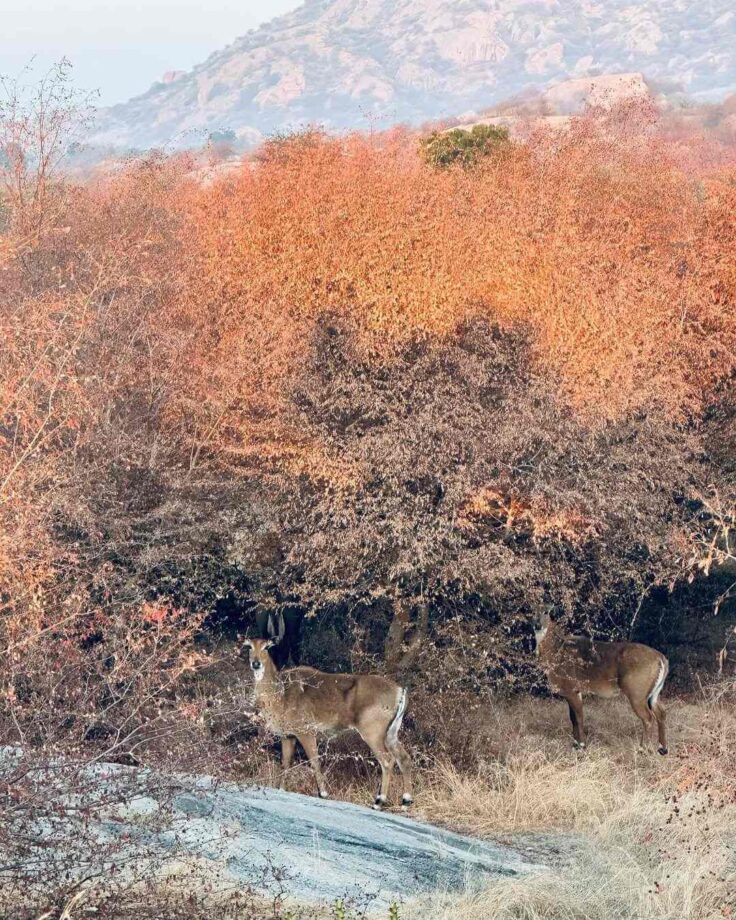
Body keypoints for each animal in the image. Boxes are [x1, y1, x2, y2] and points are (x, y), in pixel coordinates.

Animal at [242, 636, 414, 808]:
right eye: (249, 646)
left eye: (266, 647)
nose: (256, 663)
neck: (279, 696)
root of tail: (401, 691)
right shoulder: (288, 735)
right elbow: (285, 762)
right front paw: (281, 789)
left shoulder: (306, 730)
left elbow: (314, 761)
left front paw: (323, 793)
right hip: (391, 732)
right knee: (403, 758)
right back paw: (406, 800)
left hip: (373, 729)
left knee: (387, 760)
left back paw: (379, 801)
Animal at [532, 612, 668, 756]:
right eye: (532, 612)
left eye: (547, 612)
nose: (537, 625)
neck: (554, 652)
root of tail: (662, 659)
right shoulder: (575, 692)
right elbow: (572, 718)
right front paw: (575, 745)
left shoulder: (571, 689)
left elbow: (578, 717)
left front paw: (582, 745)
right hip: (654, 693)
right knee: (661, 712)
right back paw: (662, 748)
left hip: (637, 693)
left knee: (648, 717)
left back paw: (642, 749)